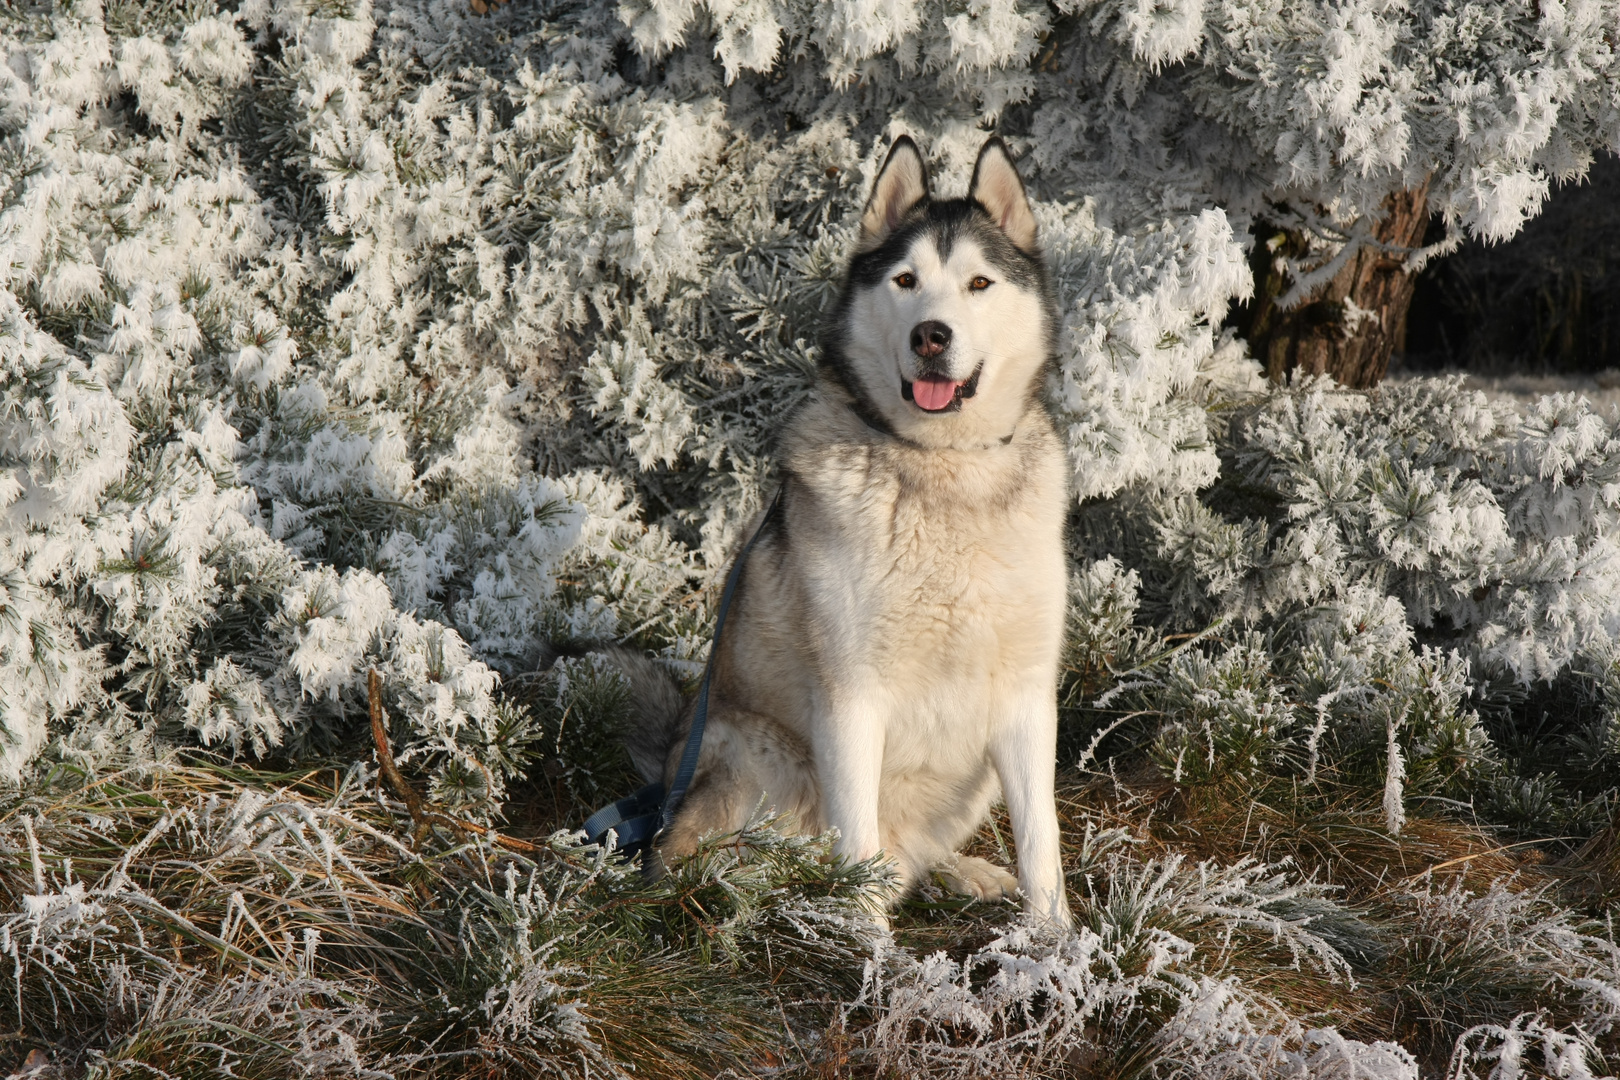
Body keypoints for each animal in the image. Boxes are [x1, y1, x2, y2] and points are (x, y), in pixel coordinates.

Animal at [625, 135, 1069, 926]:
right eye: (905, 280)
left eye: (979, 284)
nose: (932, 335)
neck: (942, 467)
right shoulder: (851, 697)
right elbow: (854, 849)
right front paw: (862, 944)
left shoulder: (1026, 698)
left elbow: (1041, 837)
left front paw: (1058, 939)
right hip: (748, 751)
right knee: (707, 860)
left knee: (908, 860)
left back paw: (959, 873)